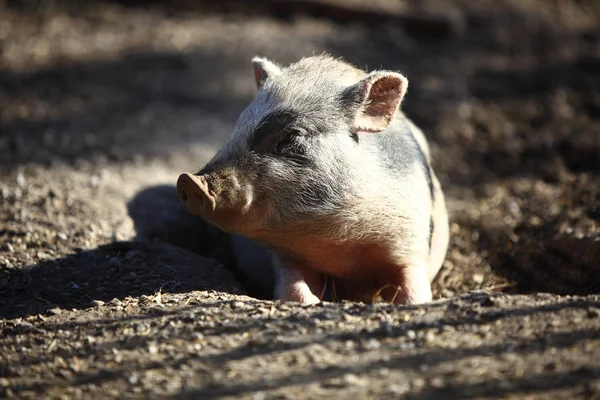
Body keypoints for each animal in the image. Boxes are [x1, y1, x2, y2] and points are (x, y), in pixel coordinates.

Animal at [176, 54, 448, 306]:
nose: (190, 180)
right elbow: (293, 292)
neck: (345, 250)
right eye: (237, 128)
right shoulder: (285, 257)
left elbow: (415, 291)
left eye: (291, 136)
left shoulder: (411, 241)